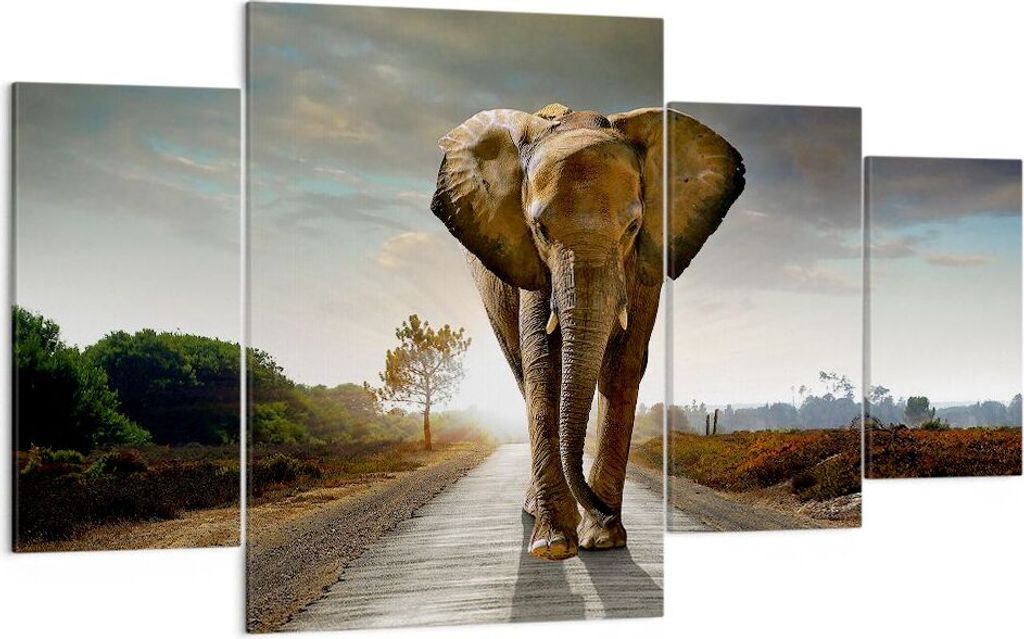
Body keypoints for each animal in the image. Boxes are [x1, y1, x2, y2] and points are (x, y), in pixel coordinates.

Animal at [429, 103, 744, 560]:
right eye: (540, 230)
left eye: (633, 227)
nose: (605, 512)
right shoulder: (529, 261)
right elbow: (544, 363)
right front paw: (555, 545)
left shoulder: (646, 261)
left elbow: (623, 365)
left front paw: (604, 539)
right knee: (521, 370)